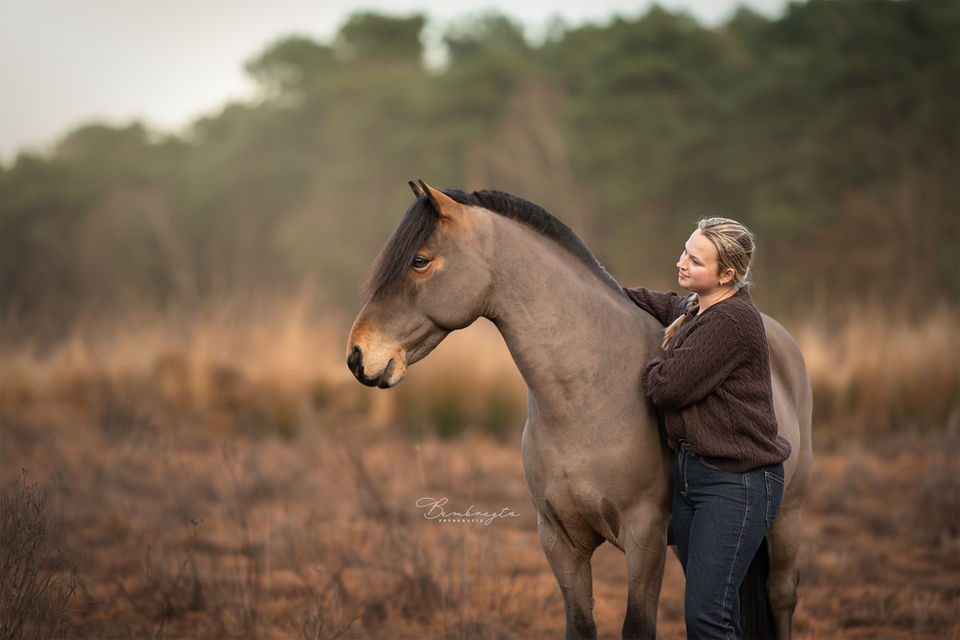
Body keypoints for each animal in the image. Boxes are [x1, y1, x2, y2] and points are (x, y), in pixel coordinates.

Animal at [346, 180, 812, 639]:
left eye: (420, 261)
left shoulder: (645, 536)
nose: (356, 356)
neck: (585, 401)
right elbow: (581, 623)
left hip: (786, 521)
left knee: (781, 596)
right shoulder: (559, 540)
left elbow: (638, 624)